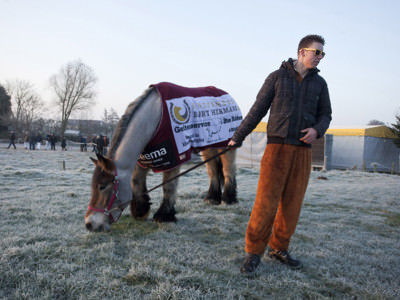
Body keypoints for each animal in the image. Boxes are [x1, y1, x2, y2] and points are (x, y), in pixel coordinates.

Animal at [85, 85, 239, 232]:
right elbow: (136, 181)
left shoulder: (173, 159)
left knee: (227, 171)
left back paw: (228, 199)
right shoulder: (144, 158)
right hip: (208, 149)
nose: (89, 224)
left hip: (227, 147)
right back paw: (212, 198)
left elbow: (168, 187)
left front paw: (164, 216)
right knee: (213, 172)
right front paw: (141, 210)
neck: (154, 118)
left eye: (102, 186)